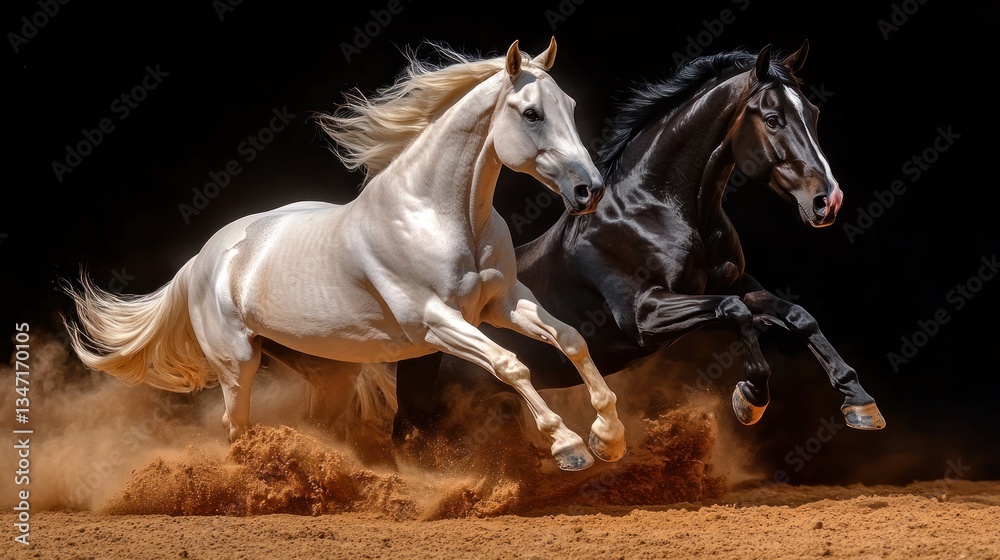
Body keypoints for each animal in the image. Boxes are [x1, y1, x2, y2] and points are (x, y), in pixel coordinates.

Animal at [62, 38, 627, 472]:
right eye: (531, 113)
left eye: (571, 106)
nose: (590, 190)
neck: (442, 215)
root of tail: (203, 259)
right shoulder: (436, 322)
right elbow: (511, 366)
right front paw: (569, 446)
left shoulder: (503, 303)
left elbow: (571, 340)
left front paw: (609, 437)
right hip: (237, 363)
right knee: (235, 426)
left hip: (330, 371)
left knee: (312, 422)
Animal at [387, 41, 886, 442]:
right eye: (773, 119)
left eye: (814, 115)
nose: (829, 201)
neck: (657, 210)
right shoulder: (644, 313)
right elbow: (735, 312)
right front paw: (750, 399)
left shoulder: (737, 282)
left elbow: (797, 316)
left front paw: (860, 403)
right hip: (422, 405)